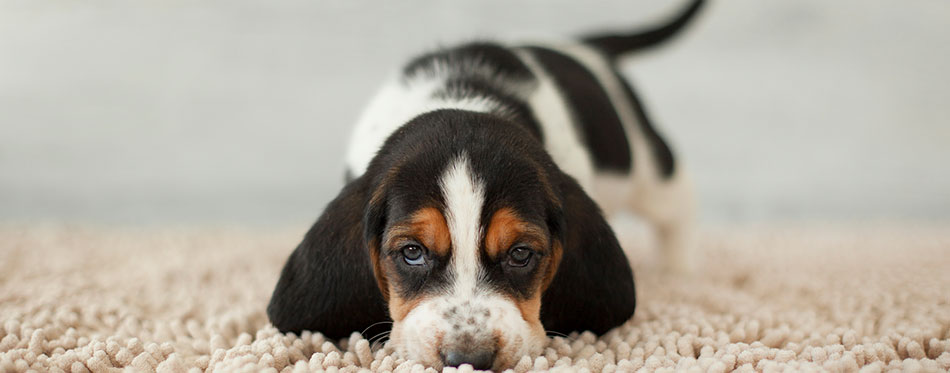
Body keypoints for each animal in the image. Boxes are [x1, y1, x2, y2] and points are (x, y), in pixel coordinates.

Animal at [270, 0, 708, 370]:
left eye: (520, 254)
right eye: (411, 252)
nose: (469, 359)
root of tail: (583, 47)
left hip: (650, 173)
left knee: (680, 203)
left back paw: (680, 269)